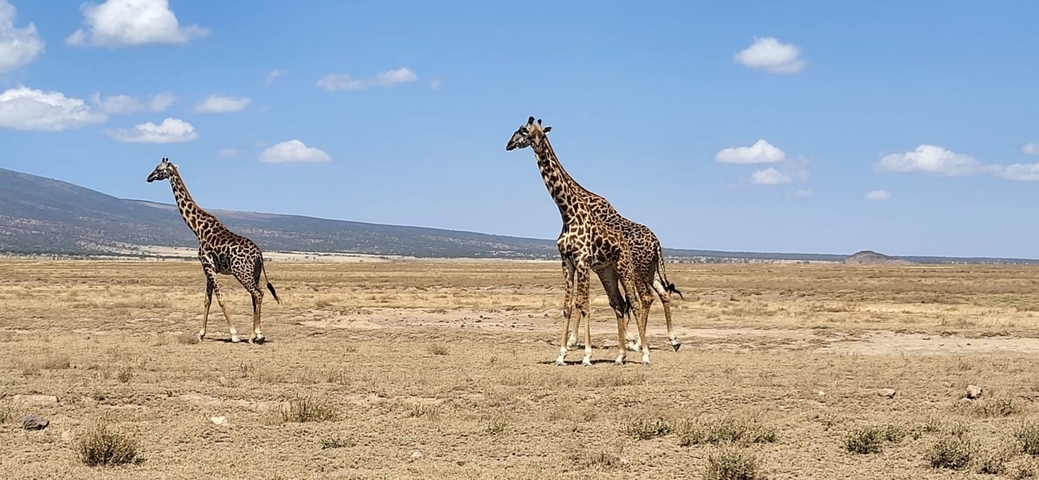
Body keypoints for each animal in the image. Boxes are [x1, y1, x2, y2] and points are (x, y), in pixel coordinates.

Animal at [146, 157, 281, 344]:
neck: (197, 228)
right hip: (255, 273)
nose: (148, 178)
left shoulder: (207, 266)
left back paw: (258, 335)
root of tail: (259, 254)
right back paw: (254, 334)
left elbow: (220, 298)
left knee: (258, 293)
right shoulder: (209, 268)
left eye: (159, 169)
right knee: (255, 296)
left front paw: (234, 334)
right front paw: (201, 334)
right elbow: (207, 300)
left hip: (241, 272)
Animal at [509, 126, 684, 352]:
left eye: (521, 132)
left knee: (645, 297)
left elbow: (587, 301)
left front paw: (574, 341)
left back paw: (639, 342)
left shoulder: (587, 262)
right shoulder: (590, 265)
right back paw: (672, 339)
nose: (509, 144)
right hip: (650, 269)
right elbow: (598, 301)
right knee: (662, 294)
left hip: (637, 270)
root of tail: (657, 244)